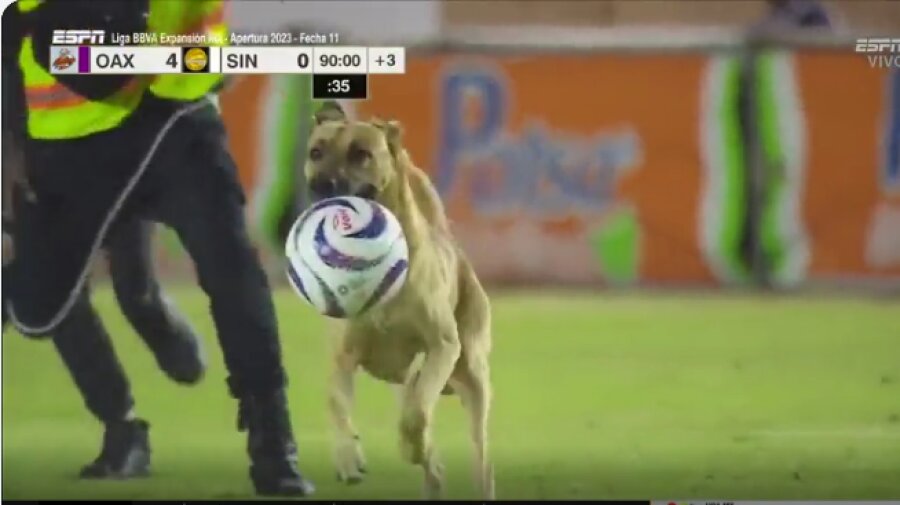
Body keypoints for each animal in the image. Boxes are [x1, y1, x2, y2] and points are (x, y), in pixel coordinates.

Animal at [306, 100, 496, 498]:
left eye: (361, 153)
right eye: (316, 152)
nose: (321, 185)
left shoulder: (441, 347)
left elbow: (418, 414)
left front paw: (412, 444)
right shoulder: (344, 355)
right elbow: (335, 401)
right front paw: (348, 458)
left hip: (473, 373)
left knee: (479, 454)